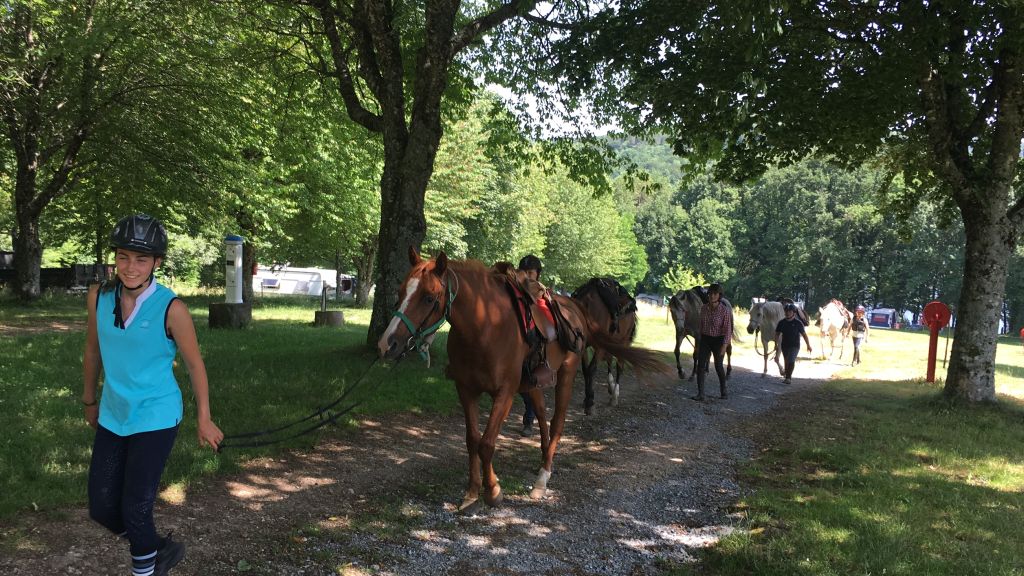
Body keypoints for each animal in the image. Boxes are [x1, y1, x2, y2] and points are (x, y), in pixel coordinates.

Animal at [571, 278, 638, 415]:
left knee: (615, 365)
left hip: (618, 342)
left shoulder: (597, 346)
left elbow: (590, 369)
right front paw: (589, 399)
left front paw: (590, 401)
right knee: (609, 362)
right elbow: (587, 369)